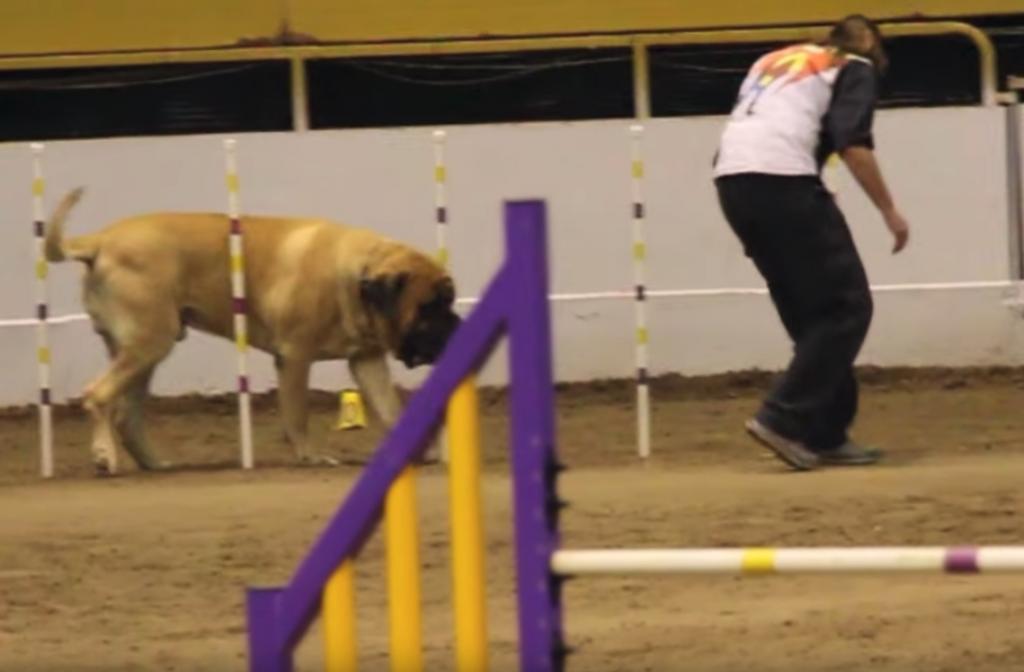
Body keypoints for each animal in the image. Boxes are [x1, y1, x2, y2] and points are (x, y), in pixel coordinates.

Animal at [38, 186, 456, 475]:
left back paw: (153, 464)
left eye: (448, 300)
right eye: (430, 305)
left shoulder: (366, 360)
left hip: (143, 351)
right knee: (97, 395)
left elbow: (390, 407)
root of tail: (99, 241)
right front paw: (311, 456)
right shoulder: (295, 357)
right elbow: (297, 414)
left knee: (127, 415)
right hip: (148, 342)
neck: (357, 276)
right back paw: (104, 456)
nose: (456, 326)